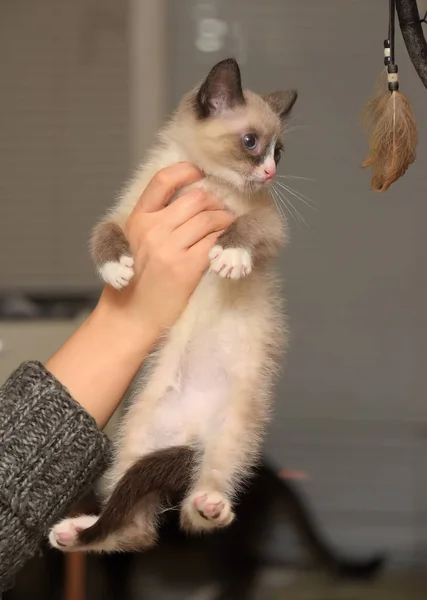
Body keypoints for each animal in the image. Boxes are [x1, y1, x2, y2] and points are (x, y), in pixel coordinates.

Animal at [49, 57, 298, 552]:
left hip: (235, 432)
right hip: (137, 432)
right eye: (251, 143)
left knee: (197, 503)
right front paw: (118, 269)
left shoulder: (267, 223)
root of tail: (193, 433)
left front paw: (228, 257)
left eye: (278, 153)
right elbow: (105, 232)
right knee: (137, 528)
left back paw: (210, 505)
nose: (269, 175)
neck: (208, 179)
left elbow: (244, 230)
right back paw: (72, 531)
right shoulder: (130, 211)